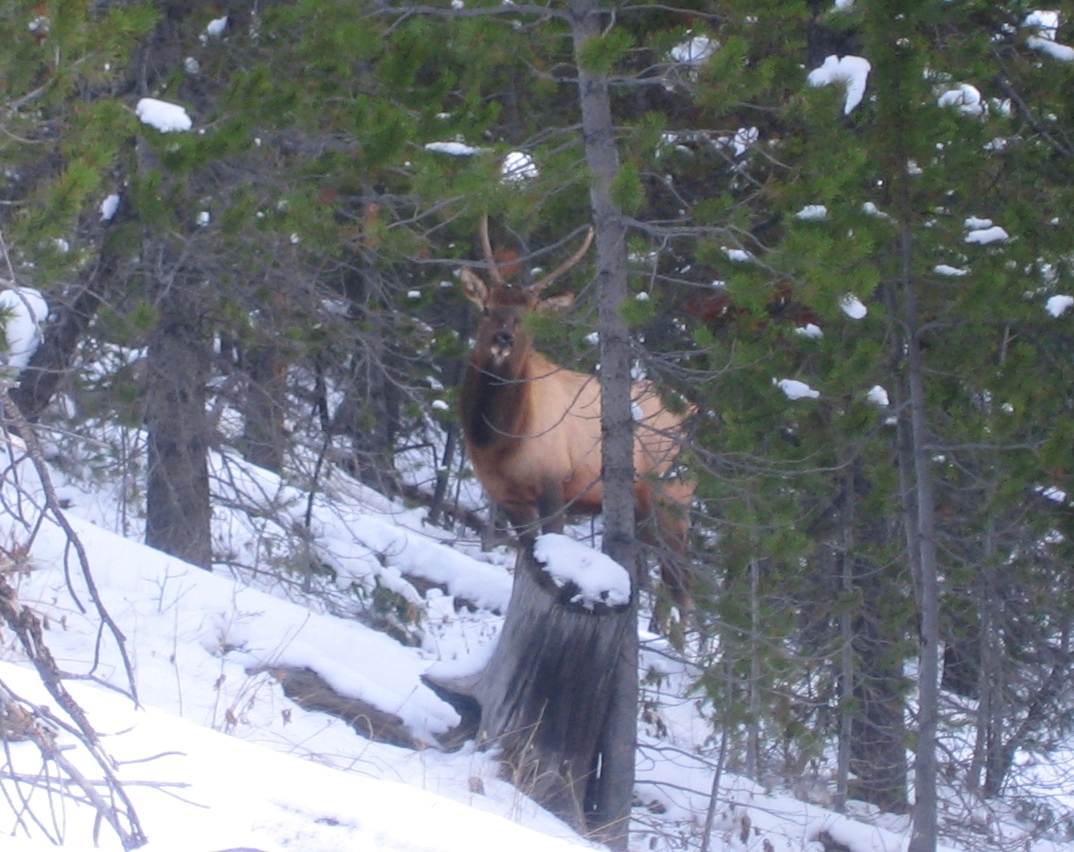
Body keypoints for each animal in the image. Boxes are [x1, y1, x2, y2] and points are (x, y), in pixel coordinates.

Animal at [458, 218, 694, 613]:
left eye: (530, 318)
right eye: (488, 308)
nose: (503, 339)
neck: (499, 440)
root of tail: (693, 412)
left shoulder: (554, 483)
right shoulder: (506, 496)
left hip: (671, 501)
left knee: (682, 589)